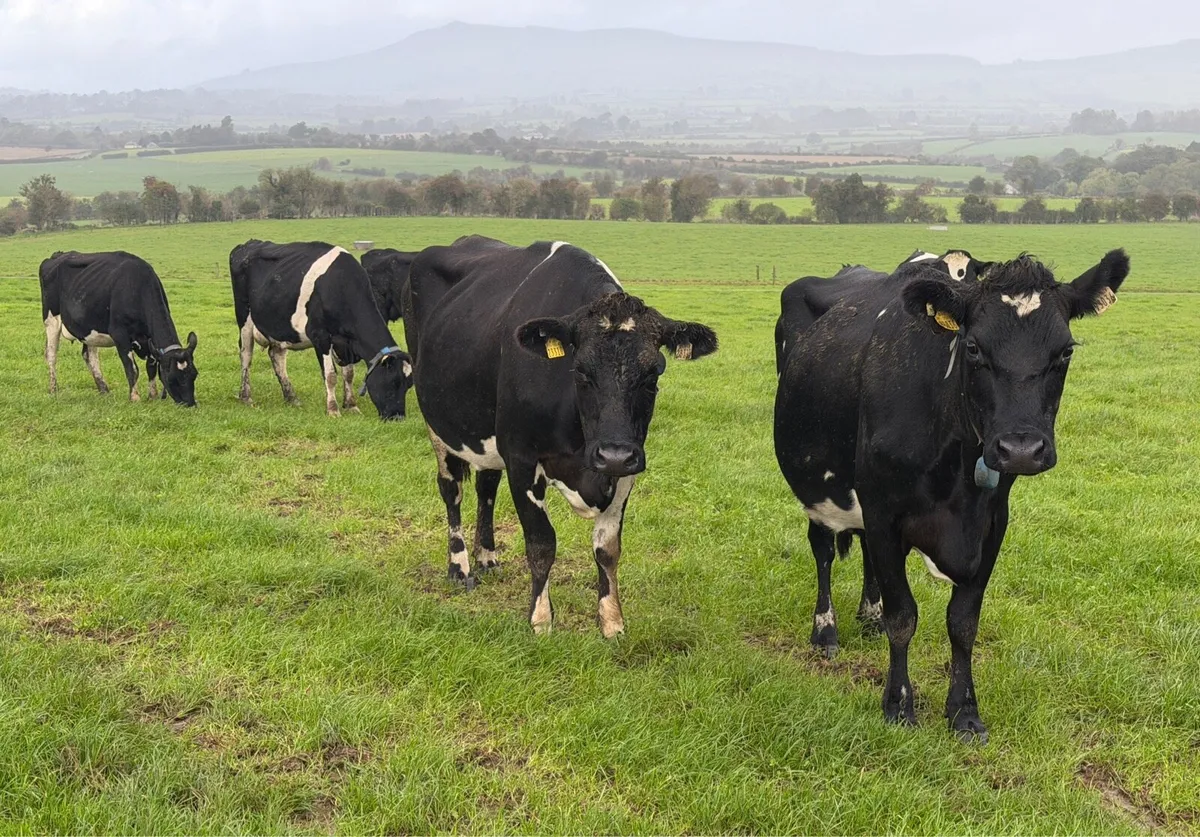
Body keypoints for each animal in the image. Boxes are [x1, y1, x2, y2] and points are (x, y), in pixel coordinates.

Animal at [39, 250, 199, 406]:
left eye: (194, 374)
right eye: (172, 378)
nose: (190, 404)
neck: (137, 287)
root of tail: (58, 255)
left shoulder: (150, 340)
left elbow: (151, 367)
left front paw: (152, 396)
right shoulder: (120, 334)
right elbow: (132, 368)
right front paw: (135, 397)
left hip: (89, 328)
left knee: (90, 356)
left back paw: (103, 389)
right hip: (51, 320)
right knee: (51, 354)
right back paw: (53, 389)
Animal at [229, 240, 412, 419]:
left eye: (408, 386)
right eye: (393, 382)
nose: (398, 417)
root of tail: (247, 245)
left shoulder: (345, 343)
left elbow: (349, 374)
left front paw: (351, 405)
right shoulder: (320, 336)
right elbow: (330, 375)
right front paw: (333, 410)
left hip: (279, 326)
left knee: (277, 356)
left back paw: (292, 398)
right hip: (244, 317)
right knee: (246, 355)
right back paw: (246, 397)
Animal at [407, 236, 717, 637]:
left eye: (653, 374)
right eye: (581, 371)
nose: (613, 454)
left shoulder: (628, 468)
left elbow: (607, 548)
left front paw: (611, 621)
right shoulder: (521, 457)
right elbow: (541, 543)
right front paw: (540, 620)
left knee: (486, 486)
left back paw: (487, 556)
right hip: (438, 424)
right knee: (452, 490)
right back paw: (459, 566)